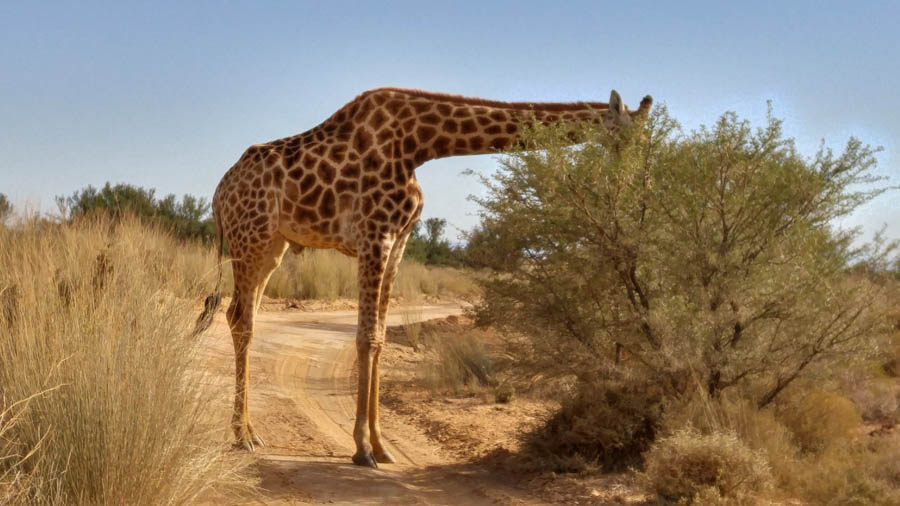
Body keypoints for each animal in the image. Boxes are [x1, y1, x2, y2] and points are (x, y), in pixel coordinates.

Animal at [193, 86, 652, 466]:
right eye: (630, 137)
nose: (639, 183)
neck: (421, 144)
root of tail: (218, 194)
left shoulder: (398, 242)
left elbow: (379, 338)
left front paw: (380, 446)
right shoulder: (375, 235)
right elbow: (366, 337)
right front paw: (362, 449)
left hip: (274, 246)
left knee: (240, 316)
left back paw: (249, 431)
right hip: (250, 239)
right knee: (243, 321)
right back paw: (243, 436)